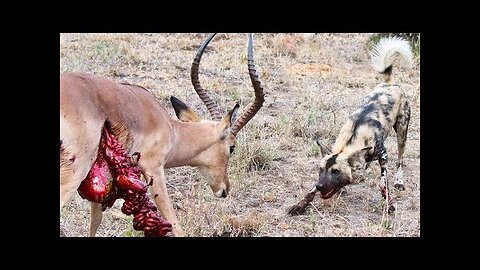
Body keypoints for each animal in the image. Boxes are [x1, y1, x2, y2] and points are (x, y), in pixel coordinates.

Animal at [286, 36, 414, 215]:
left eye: (336, 172)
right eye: (320, 170)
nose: (320, 186)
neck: (352, 140)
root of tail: (389, 83)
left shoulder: (383, 155)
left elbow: (382, 182)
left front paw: (389, 204)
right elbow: (309, 191)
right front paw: (301, 204)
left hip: (402, 133)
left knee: (400, 160)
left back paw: (399, 181)